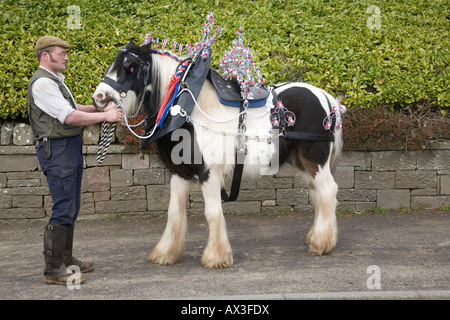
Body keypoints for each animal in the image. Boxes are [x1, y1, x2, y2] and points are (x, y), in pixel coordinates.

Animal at [91, 40, 344, 270]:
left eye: (131, 67)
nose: (99, 97)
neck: (186, 111)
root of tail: (325, 96)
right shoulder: (180, 173)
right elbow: (174, 213)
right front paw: (166, 253)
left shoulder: (209, 173)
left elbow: (212, 212)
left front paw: (216, 257)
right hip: (304, 163)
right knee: (318, 193)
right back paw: (316, 237)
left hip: (315, 161)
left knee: (328, 191)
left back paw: (322, 243)